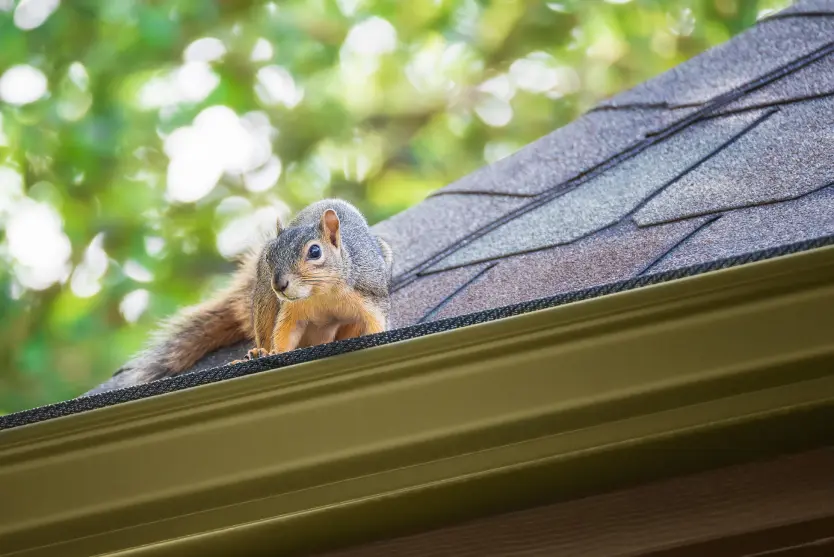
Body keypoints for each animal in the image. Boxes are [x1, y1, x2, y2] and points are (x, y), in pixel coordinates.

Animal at [93, 199, 393, 391]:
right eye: (269, 255)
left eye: (315, 251)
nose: (279, 284)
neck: (322, 293)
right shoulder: (291, 311)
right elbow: (284, 333)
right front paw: (273, 353)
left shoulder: (369, 297)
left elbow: (376, 323)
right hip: (263, 302)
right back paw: (258, 351)